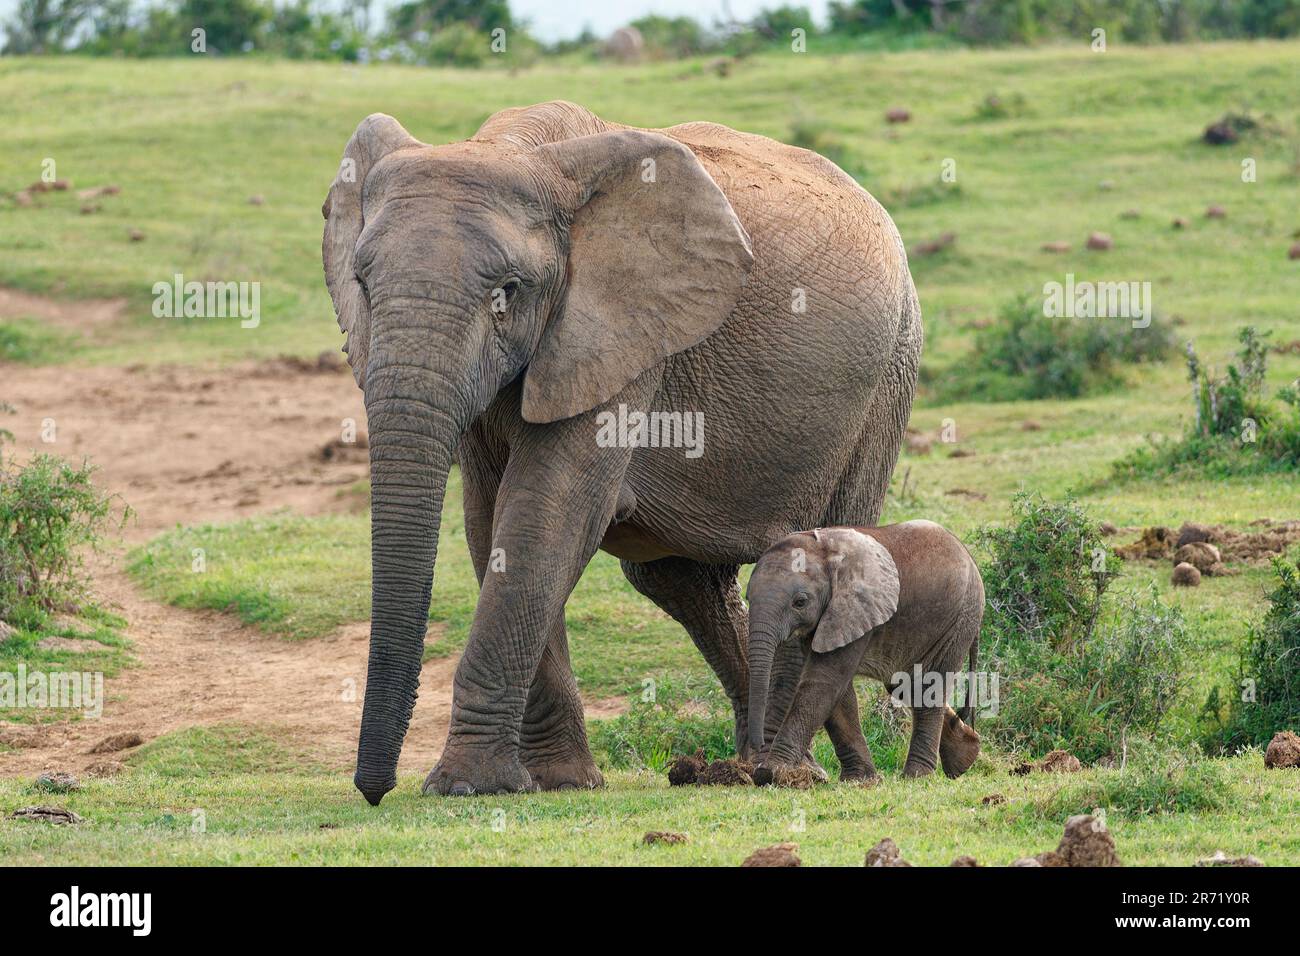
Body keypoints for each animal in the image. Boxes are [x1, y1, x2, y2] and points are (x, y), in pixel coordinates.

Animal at [319, 98, 920, 806]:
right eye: (360, 281)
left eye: (508, 291)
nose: (374, 791)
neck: (511, 146)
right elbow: (492, 520)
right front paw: (559, 783)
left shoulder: (624, 337)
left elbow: (546, 513)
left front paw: (468, 787)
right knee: (680, 583)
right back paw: (752, 767)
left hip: (885, 383)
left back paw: (798, 770)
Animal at [748, 522, 977, 785]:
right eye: (747, 597)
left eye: (800, 602)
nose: (758, 747)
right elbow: (838, 692)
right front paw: (860, 780)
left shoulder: (854, 608)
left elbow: (824, 682)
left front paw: (770, 772)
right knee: (906, 687)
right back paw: (966, 755)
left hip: (958, 621)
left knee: (928, 687)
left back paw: (917, 776)